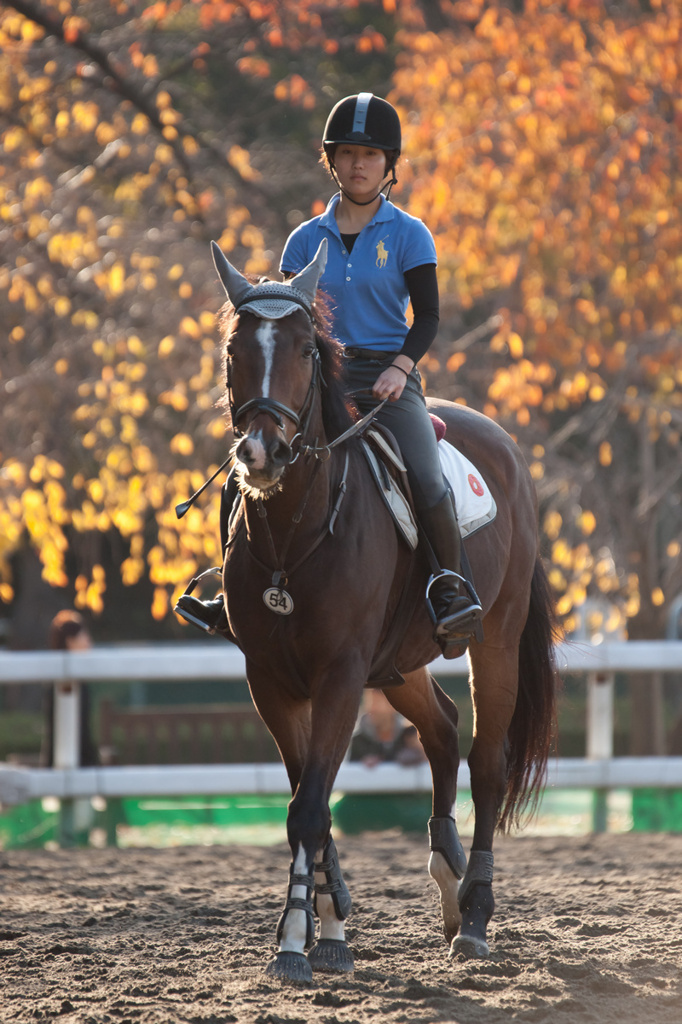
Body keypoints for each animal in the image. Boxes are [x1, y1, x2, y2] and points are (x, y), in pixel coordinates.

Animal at [205, 239, 552, 983]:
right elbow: (308, 800)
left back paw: (474, 917)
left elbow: (310, 809)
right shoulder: (271, 680)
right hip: (397, 665)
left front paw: (297, 943)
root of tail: (505, 447)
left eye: (307, 348)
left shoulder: (339, 673)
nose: (261, 452)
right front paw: (328, 925)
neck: (295, 532)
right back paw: (447, 880)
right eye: (233, 349)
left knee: (486, 762)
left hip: (496, 642)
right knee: (443, 731)